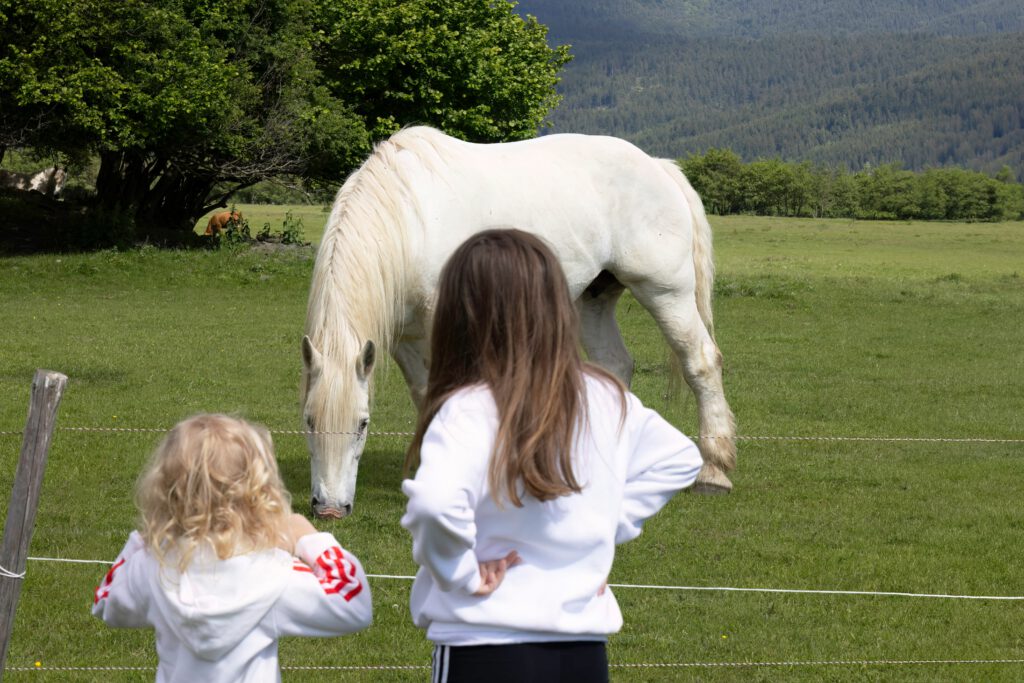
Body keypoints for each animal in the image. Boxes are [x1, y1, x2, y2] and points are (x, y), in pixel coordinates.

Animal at [301, 125, 737, 518]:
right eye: (308, 421)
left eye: (362, 424)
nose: (330, 509)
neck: (411, 217)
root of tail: (658, 166)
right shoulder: (406, 339)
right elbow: (426, 395)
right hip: (593, 300)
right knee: (615, 365)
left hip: (666, 292)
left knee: (700, 362)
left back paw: (714, 471)